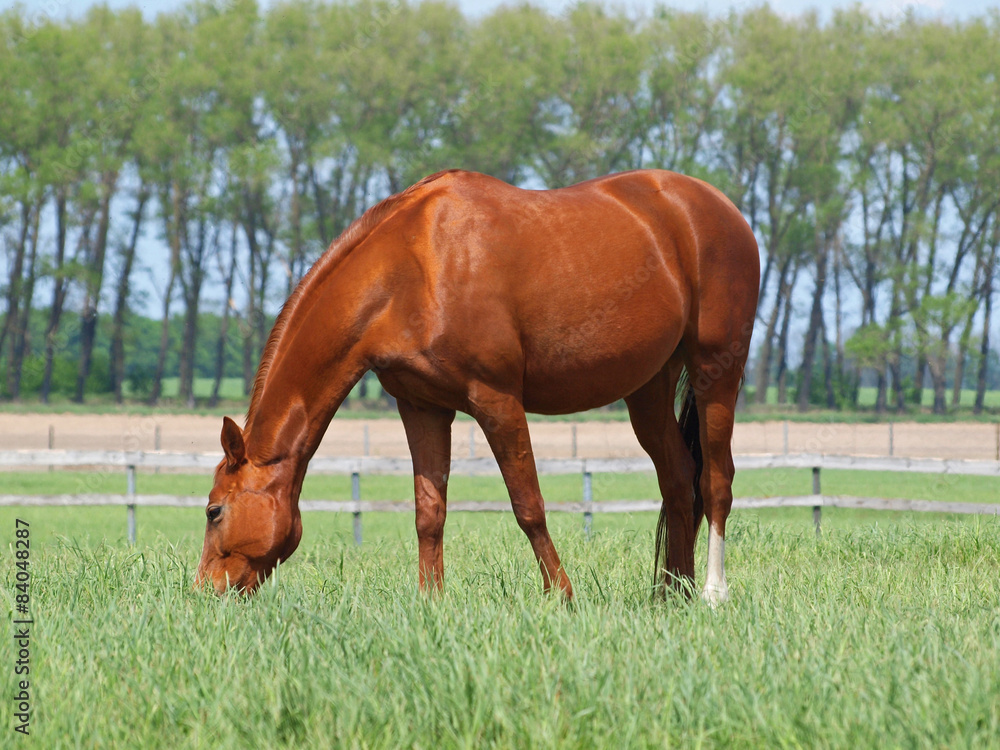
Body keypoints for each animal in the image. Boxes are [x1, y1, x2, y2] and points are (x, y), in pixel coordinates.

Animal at [195, 169, 759, 603]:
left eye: (213, 510)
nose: (203, 592)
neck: (411, 267)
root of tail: (720, 209)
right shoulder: (421, 406)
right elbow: (429, 511)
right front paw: (430, 602)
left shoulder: (496, 400)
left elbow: (528, 505)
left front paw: (562, 596)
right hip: (648, 387)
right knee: (678, 479)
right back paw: (671, 595)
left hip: (716, 371)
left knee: (715, 481)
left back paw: (712, 594)